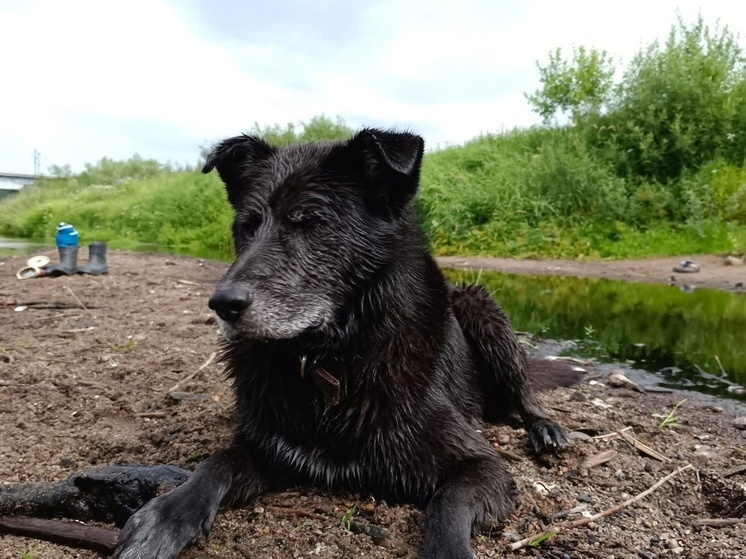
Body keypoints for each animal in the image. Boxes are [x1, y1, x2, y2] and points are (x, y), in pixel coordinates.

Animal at [115, 130, 576, 559]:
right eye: (247, 225)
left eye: (310, 222)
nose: (222, 304)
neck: (330, 359)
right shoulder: (266, 449)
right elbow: (217, 463)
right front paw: (167, 515)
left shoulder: (481, 465)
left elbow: (448, 505)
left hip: (479, 305)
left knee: (523, 390)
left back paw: (543, 426)